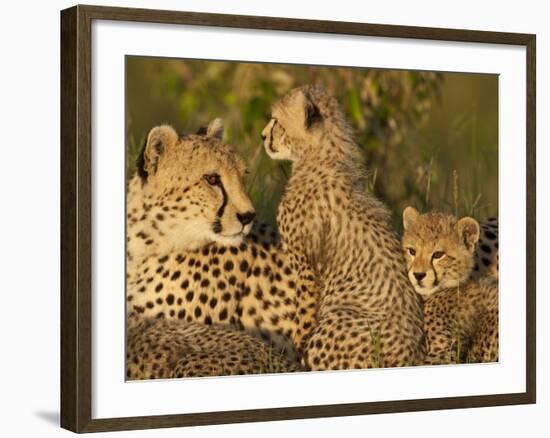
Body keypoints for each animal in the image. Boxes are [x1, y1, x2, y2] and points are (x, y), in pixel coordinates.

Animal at [264, 85, 426, 370]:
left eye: (276, 122)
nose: (263, 136)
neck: (319, 156)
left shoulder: (305, 266)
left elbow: (302, 317)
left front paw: (295, 353)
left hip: (337, 317)